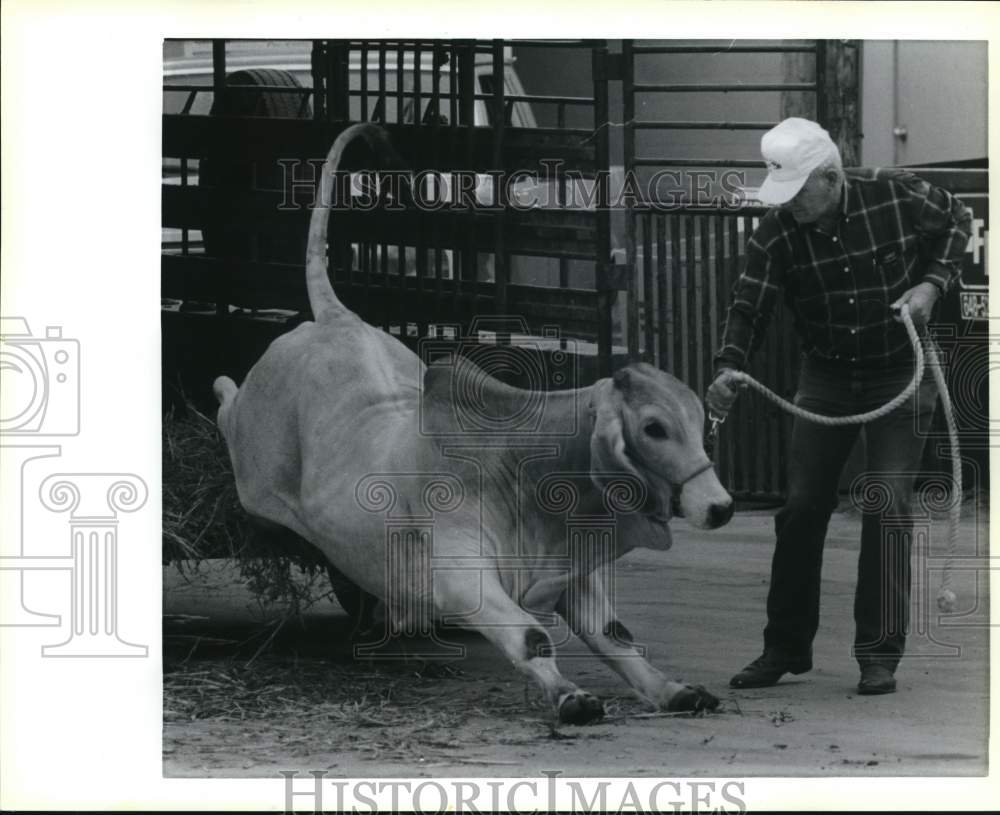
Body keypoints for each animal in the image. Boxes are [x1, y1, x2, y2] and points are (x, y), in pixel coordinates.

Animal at [215, 124, 736, 724]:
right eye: (654, 428)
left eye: (698, 417)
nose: (721, 507)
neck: (532, 473)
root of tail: (334, 318)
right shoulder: (461, 576)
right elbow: (533, 637)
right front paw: (571, 698)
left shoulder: (574, 573)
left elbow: (615, 634)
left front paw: (674, 690)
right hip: (252, 476)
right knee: (225, 400)